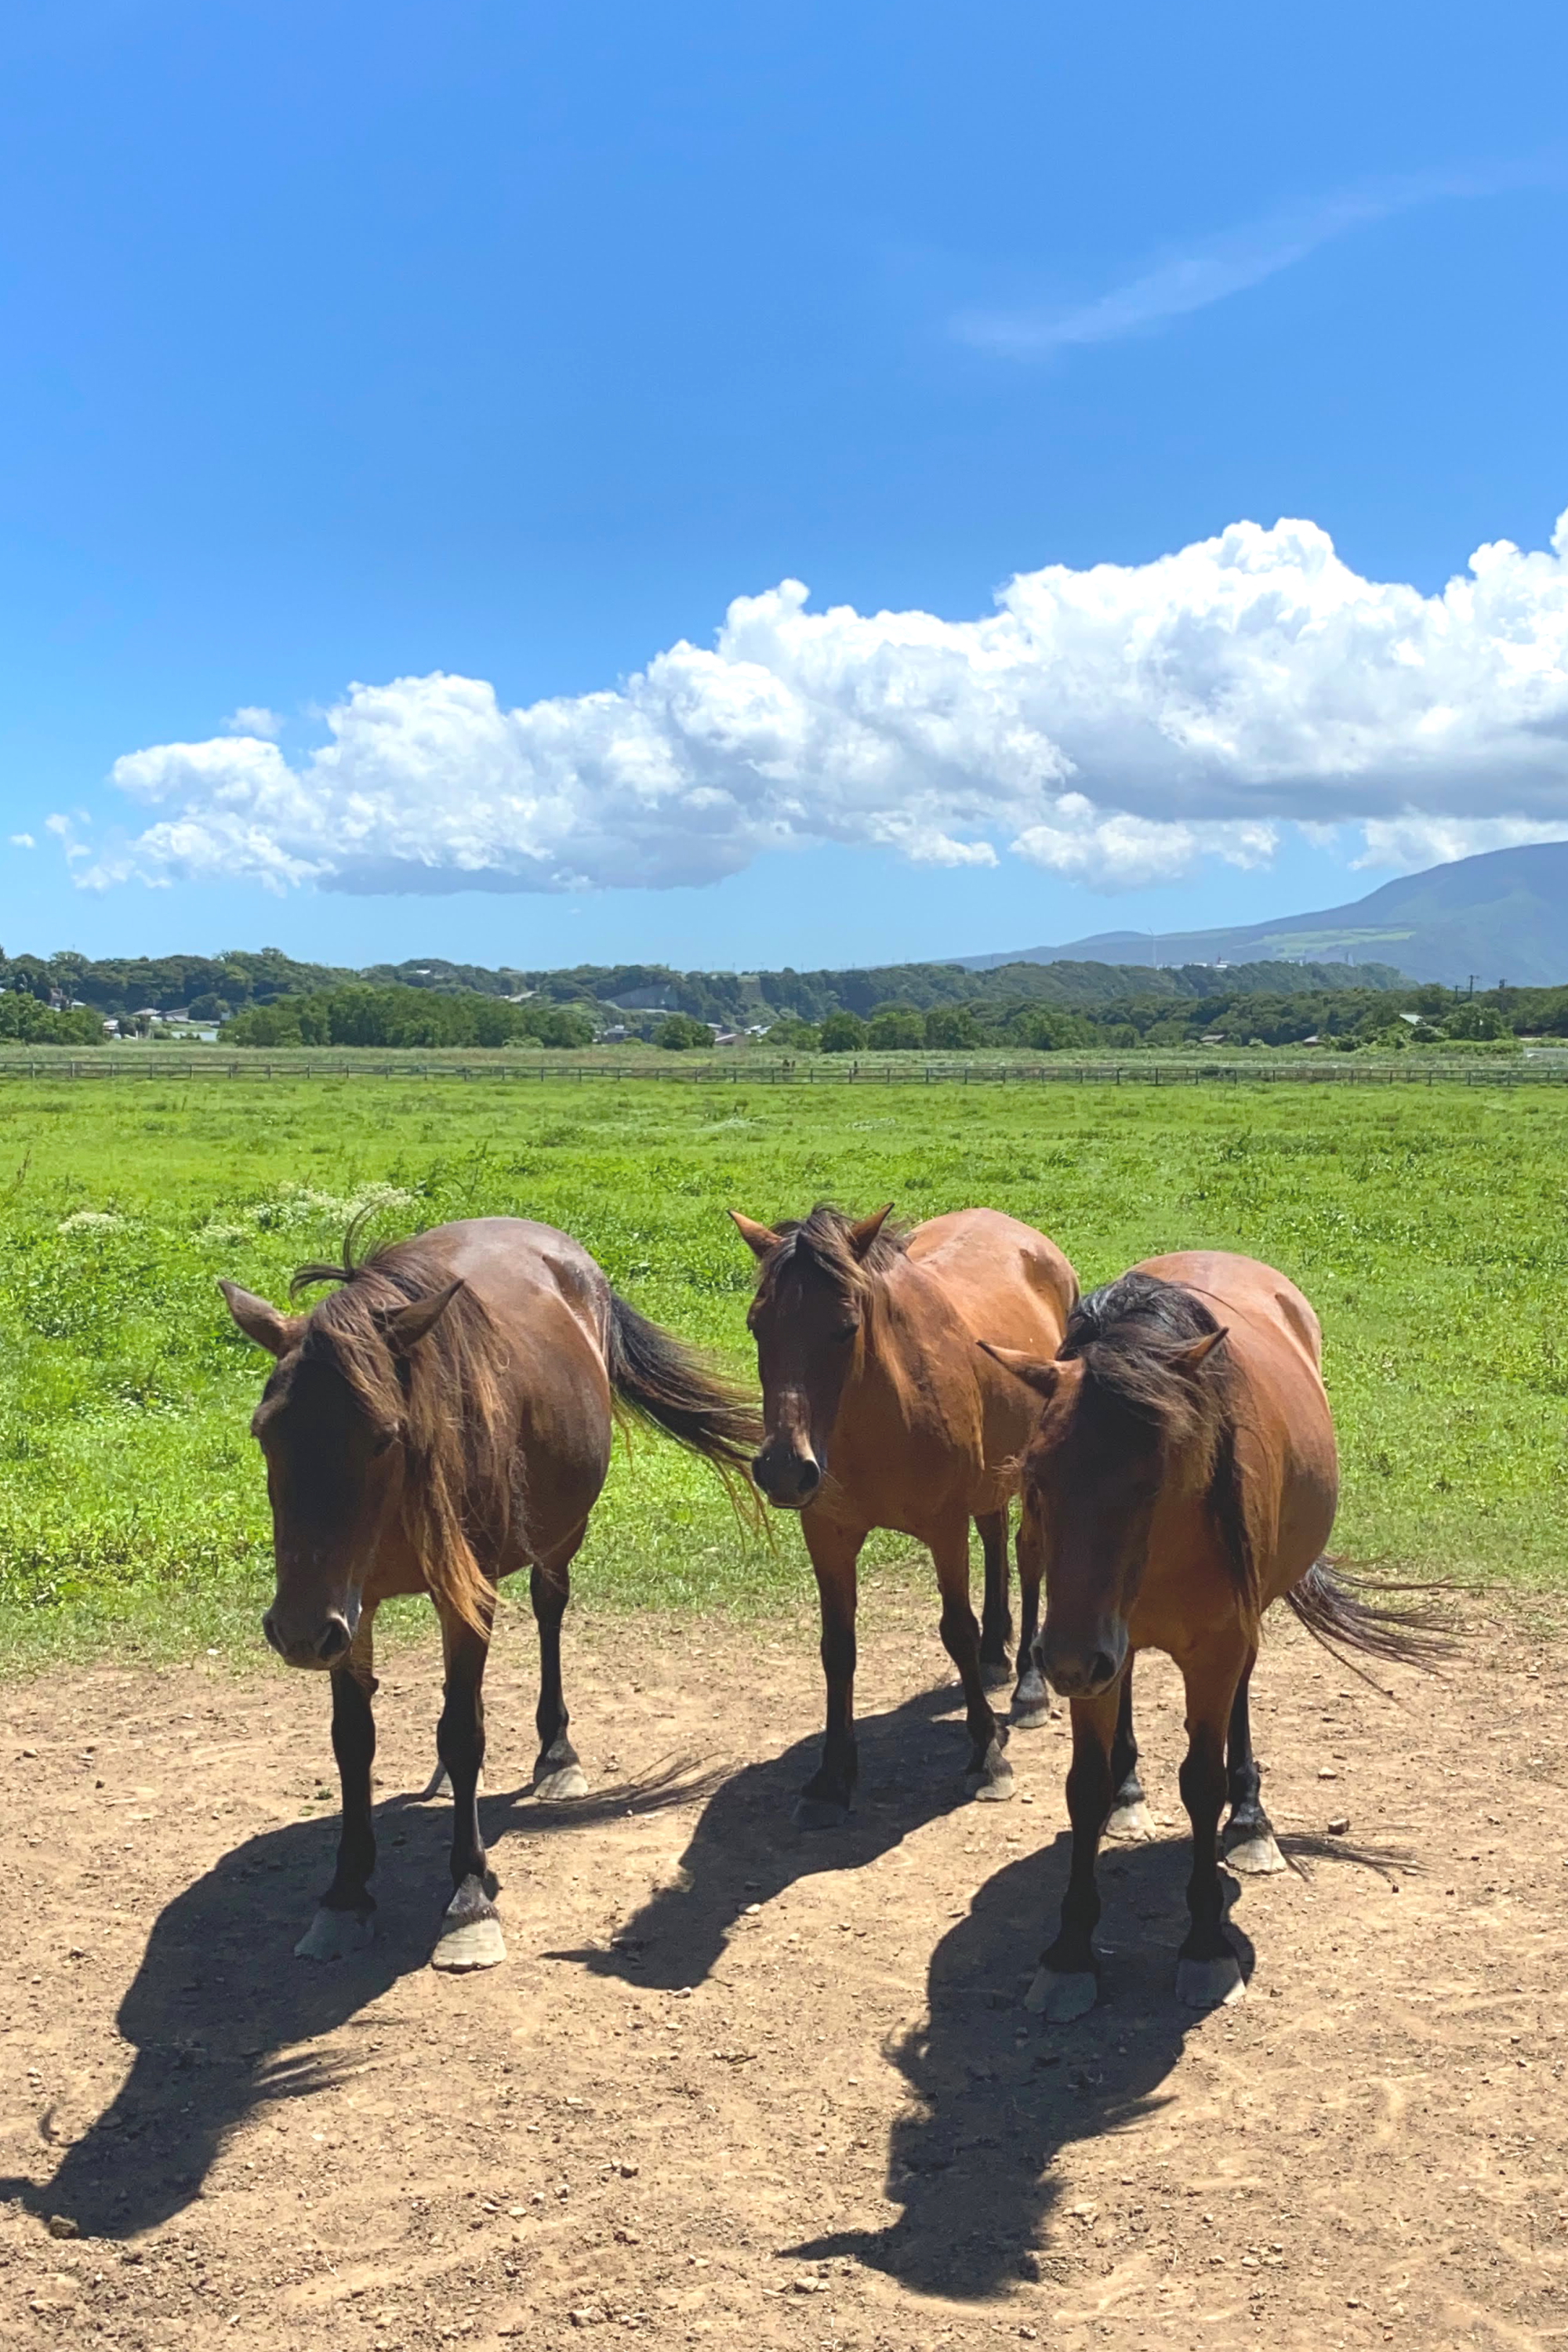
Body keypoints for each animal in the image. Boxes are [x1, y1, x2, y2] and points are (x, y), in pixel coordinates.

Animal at [222, 1223, 761, 1976]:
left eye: (382, 1436)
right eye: (266, 1431)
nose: (297, 1631)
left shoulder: (453, 1597)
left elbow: (464, 1729)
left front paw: (469, 1901)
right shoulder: (350, 1611)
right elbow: (354, 1739)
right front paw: (346, 1894)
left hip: (558, 1538)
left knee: (548, 1609)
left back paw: (556, 1755)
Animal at [733, 1204, 1081, 1825]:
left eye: (845, 1327)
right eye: (758, 1325)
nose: (783, 1469)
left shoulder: (944, 1529)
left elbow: (956, 1630)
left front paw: (987, 1756)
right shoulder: (827, 1534)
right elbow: (837, 1647)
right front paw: (831, 1775)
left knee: (1029, 1554)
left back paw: (1028, 1687)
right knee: (995, 1534)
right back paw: (997, 1657)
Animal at [987, 1251, 1439, 2023]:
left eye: (1150, 1481)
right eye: (1037, 1475)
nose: (1067, 1663)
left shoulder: (1215, 1652)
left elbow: (1202, 1781)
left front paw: (1205, 1946)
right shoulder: (1096, 1648)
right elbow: (1085, 1784)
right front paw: (1070, 1952)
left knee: (1241, 1707)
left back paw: (1251, 1822)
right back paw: (1131, 1797)